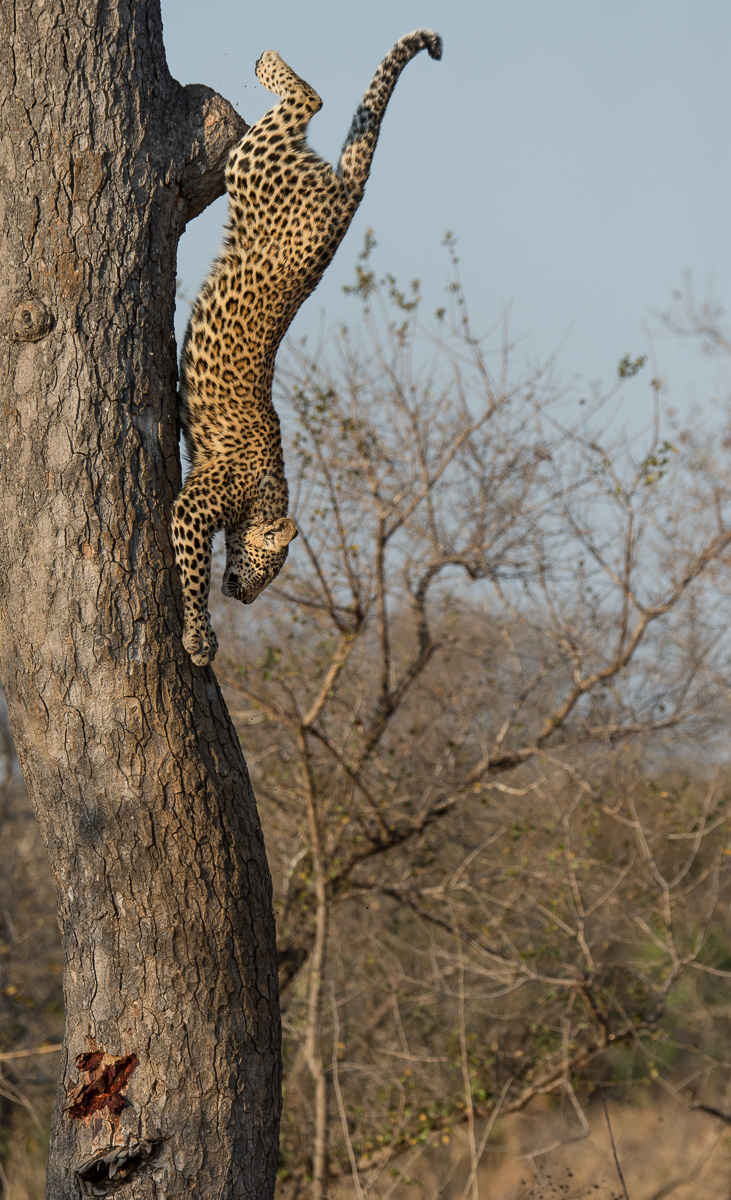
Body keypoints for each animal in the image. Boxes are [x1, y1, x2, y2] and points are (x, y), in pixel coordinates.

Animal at [173, 29, 443, 666]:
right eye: (270, 569)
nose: (245, 598)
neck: (265, 497)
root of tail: (349, 194)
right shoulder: (194, 508)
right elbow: (192, 577)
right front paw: (200, 637)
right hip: (250, 169)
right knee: (309, 102)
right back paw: (269, 63)